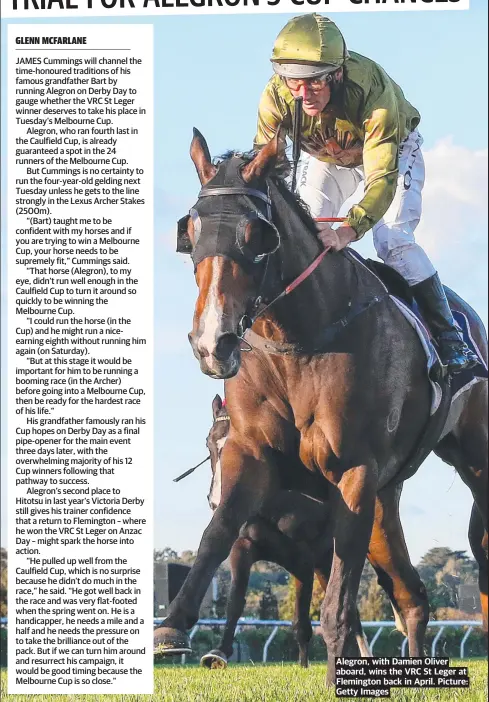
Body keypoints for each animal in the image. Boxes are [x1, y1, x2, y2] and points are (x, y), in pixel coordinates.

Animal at [157, 129, 488, 684]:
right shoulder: (254, 456)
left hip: (470, 458)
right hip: (386, 497)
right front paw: (173, 627)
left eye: (257, 234)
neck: (295, 340)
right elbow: (217, 534)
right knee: (411, 596)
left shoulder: (353, 471)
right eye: (190, 229)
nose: (212, 343)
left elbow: (337, 604)